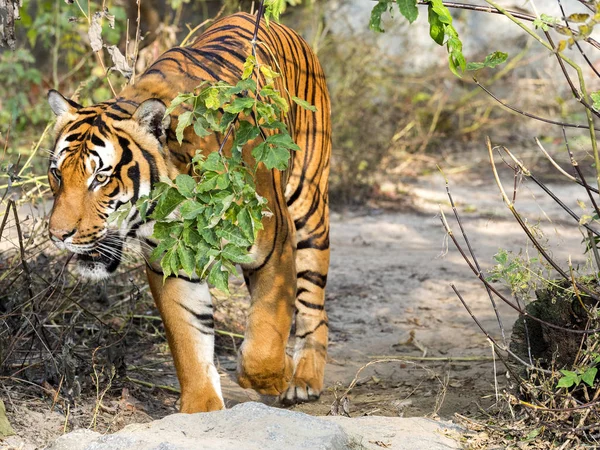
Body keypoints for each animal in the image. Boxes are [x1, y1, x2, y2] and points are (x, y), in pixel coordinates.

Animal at [47, 11, 332, 412]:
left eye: (100, 178)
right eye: (58, 174)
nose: (58, 235)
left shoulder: (274, 246)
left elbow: (267, 333)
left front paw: (272, 377)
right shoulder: (172, 262)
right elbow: (188, 339)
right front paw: (201, 408)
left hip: (308, 205)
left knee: (313, 304)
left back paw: (304, 378)